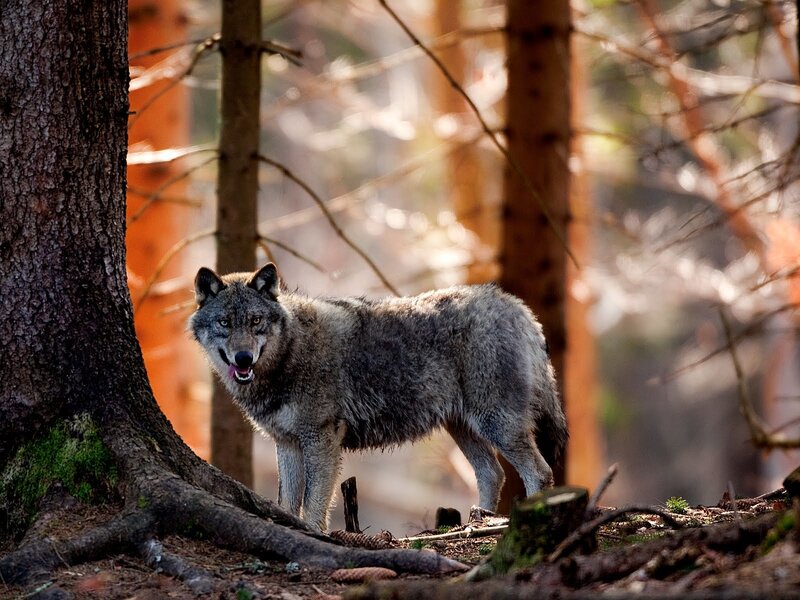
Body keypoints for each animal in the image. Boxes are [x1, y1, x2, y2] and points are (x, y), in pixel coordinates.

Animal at [189, 263, 568, 531]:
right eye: (225, 322)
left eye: (255, 321)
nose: (243, 359)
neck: (289, 354)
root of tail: (518, 308)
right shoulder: (288, 443)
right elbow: (288, 503)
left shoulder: (321, 439)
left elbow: (313, 503)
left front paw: (313, 533)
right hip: (464, 428)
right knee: (493, 474)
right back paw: (475, 524)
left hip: (497, 425)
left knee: (539, 472)